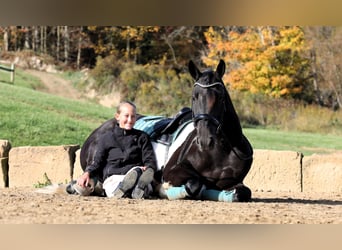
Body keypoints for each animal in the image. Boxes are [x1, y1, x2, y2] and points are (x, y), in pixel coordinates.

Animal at [160, 59, 251, 202]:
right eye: (194, 97)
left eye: (220, 97)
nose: (204, 140)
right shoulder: (171, 170)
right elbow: (194, 184)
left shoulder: (233, 182)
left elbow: (243, 192)